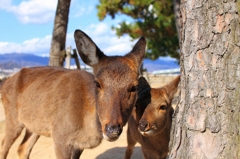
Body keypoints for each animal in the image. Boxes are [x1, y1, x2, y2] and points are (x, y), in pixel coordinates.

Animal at [0, 29, 146, 159]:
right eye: (97, 83)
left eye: (134, 87)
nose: (112, 129)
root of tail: (5, 82)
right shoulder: (60, 136)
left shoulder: (78, 145)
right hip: (12, 118)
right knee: (4, 146)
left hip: (34, 125)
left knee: (22, 149)